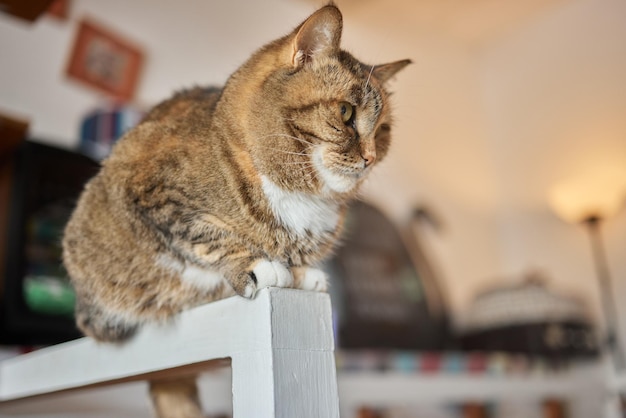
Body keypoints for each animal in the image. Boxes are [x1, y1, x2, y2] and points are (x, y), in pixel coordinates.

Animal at [61, 3, 408, 418]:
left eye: (384, 130)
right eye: (345, 112)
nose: (371, 158)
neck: (303, 196)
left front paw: (300, 272)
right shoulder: (152, 192)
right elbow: (208, 236)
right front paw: (257, 265)